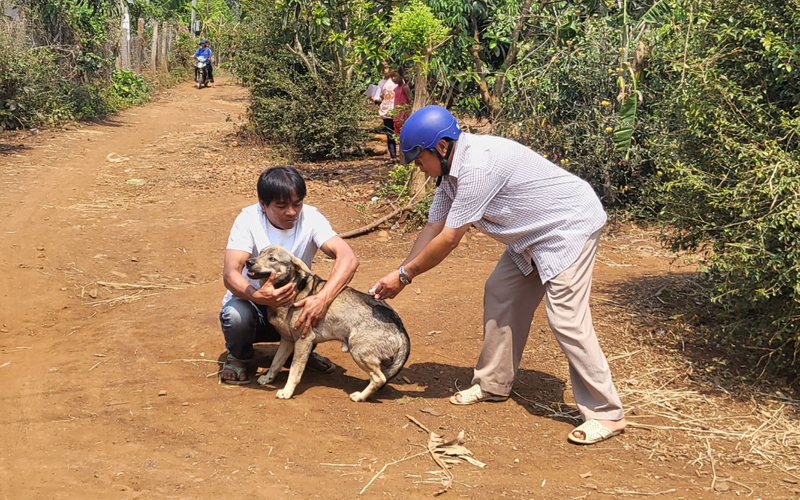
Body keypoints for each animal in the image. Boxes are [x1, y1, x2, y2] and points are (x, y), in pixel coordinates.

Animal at [245, 246, 412, 402]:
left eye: (272, 259)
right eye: (260, 253)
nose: (248, 262)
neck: (294, 290)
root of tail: (400, 325)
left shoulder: (304, 340)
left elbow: (294, 371)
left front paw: (287, 392)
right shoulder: (287, 340)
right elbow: (275, 363)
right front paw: (268, 378)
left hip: (357, 350)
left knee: (380, 378)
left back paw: (360, 396)